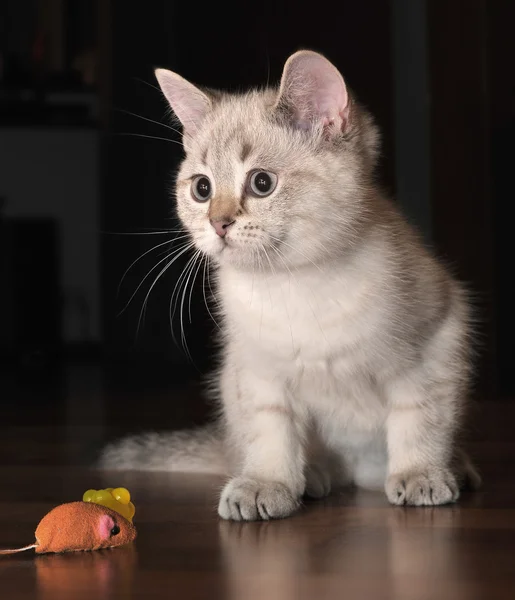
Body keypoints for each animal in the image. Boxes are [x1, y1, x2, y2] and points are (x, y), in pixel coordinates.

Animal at [100, 51, 480, 520]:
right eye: (202, 188)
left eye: (261, 182)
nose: (218, 223)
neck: (293, 286)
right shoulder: (256, 369)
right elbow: (269, 431)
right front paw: (268, 484)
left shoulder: (436, 341)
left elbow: (420, 419)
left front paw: (420, 474)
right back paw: (311, 477)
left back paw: (455, 468)